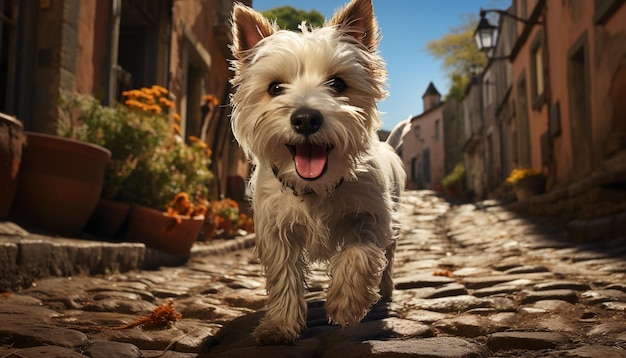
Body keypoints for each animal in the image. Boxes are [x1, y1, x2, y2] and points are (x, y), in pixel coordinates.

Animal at [227, 0, 408, 346]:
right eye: (275, 88)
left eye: (337, 84)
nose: (306, 118)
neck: (316, 187)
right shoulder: (276, 231)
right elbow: (283, 277)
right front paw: (280, 326)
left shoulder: (372, 215)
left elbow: (359, 253)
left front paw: (346, 303)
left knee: (389, 256)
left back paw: (386, 289)